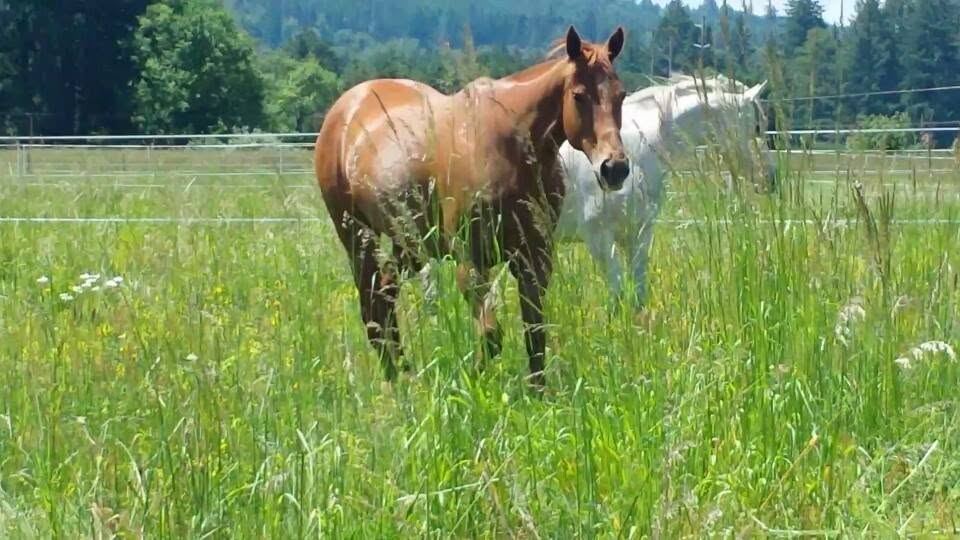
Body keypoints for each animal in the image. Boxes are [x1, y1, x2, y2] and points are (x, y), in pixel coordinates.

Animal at [315, 26, 629, 387]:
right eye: (579, 96)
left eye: (621, 95)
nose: (615, 168)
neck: (510, 147)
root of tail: (346, 107)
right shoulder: (471, 262)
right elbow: (491, 335)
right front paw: (474, 385)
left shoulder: (534, 259)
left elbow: (535, 334)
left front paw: (538, 393)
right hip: (356, 236)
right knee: (372, 309)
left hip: (409, 243)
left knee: (385, 296)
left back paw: (407, 376)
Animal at [554, 73, 774, 309]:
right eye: (758, 126)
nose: (770, 177)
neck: (634, 152)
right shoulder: (599, 237)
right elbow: (618, 296)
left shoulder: (639, 233)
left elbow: (638, 296)